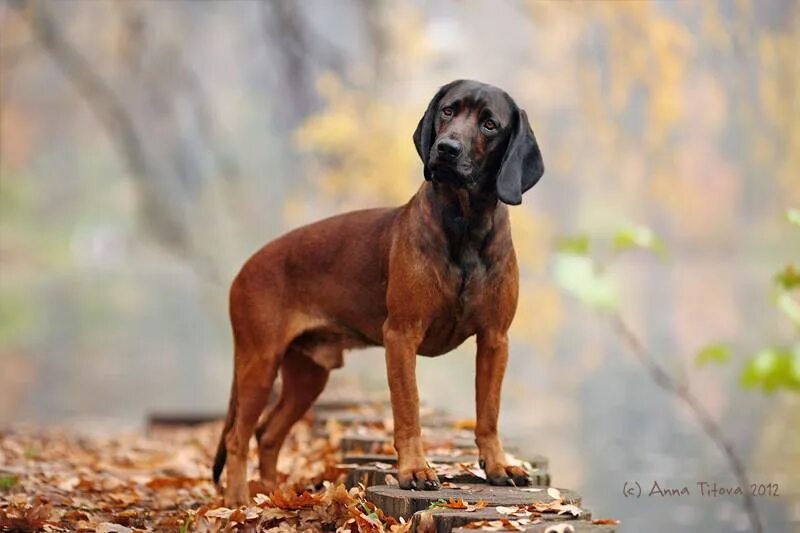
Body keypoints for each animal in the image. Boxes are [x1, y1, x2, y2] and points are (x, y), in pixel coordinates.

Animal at [214, 78, 544, 502]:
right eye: (448, 111)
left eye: (490, 124)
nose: (447, 149)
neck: (465, 225)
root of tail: (245, 267)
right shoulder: (401, 335)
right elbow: (409, 408)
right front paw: (415, 470)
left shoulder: (494, 339)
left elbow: (488, 412)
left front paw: (499, 466)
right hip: (259, 362)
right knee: (238, 437)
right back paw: (239, 502)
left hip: (308, 373)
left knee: (267, 433)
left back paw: (272, 496)